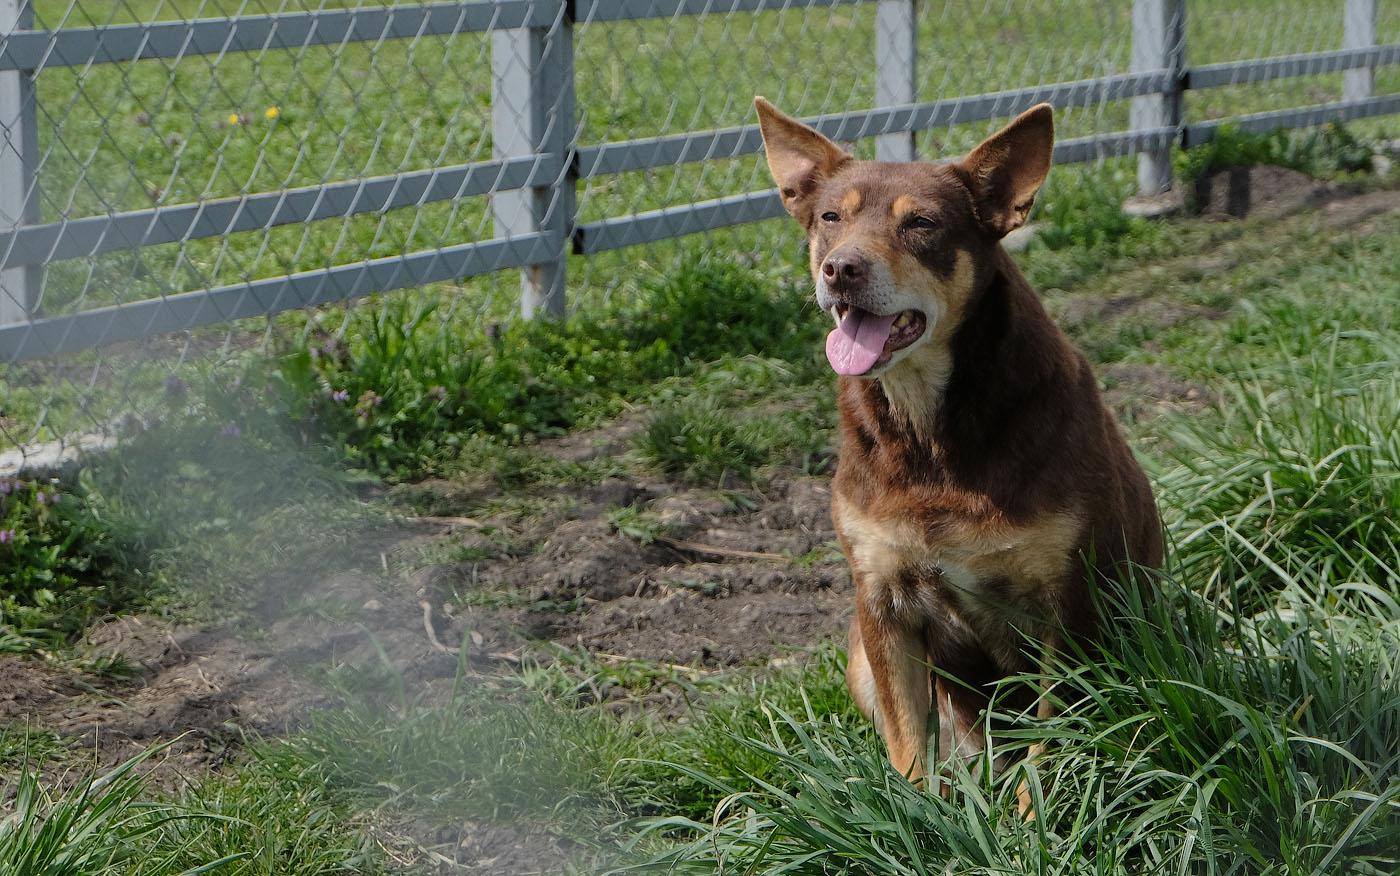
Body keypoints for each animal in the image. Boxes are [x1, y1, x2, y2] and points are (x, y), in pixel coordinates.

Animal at [756, 97, 1159, 800]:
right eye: (831, 218)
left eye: (920, 223)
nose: (841, 268)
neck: (930, 433)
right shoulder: (882, 603)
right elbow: (907, 749)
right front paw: (920, 814)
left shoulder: (1065, 604)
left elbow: (1050, 746)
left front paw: (1032, 818)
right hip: (858, 655)